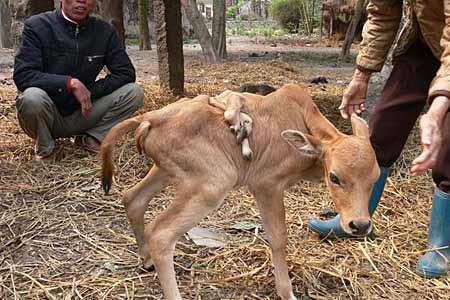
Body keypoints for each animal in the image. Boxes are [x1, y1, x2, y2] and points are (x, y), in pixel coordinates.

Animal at [100, 84, 378, 300]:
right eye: (334, 177)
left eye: (375, 178)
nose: (360, 225)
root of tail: (150, 117)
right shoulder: (266, 185)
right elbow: (278, 238)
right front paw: (286, 291)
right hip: (212, 185)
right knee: (160, 233)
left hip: (167, 171)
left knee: (133, 199)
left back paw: (146, 259)